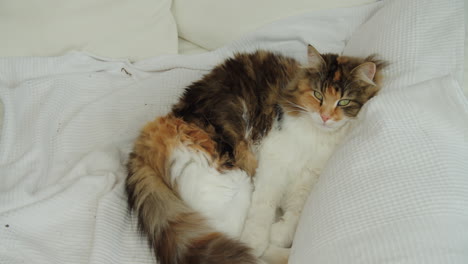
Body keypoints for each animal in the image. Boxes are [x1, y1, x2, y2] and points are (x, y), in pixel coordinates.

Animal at [126, 45, 386, 264]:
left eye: (344, 102)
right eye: (318, 95)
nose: (325, 117)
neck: (315, 137)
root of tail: (149, 134)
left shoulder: (309, 177)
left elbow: (296, 212)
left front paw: (279, 232)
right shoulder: (274, 162)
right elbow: (263, 209)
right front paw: (262, 237)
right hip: (234, 181)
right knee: (236, 238)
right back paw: (272, 253)